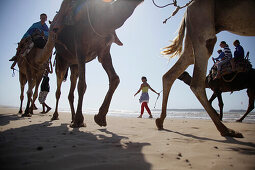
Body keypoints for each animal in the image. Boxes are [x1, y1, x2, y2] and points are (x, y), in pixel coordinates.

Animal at [157, 0, 255, 138]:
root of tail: (187, 8)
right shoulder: (218, 89)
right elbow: (219, 103)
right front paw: (219, 116)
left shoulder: (217, 89)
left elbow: (219, 103)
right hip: (202, 26)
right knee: (196, 82)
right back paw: (226, 130)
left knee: (173, 72)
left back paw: (160, 121)